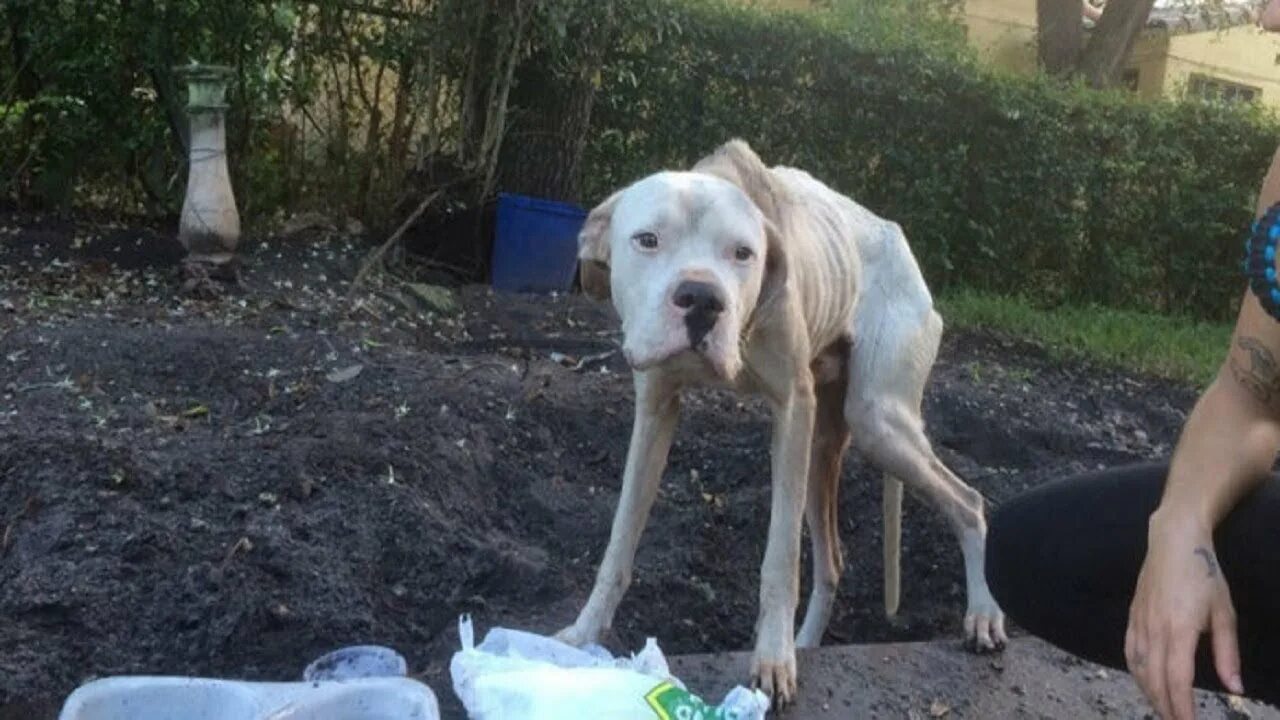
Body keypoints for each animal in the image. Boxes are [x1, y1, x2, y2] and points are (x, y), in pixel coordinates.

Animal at [555, 140, 1003, 702]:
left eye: (743, 254)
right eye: (647, 240)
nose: (703, 299)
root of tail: (901, 246)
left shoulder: (791, 410)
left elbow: (781, 561)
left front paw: (772, 659)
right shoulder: (655, 411)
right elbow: (619, 539)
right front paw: (583, 634)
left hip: (878, 422)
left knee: (969, 503)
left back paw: (983, 614)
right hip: (822, 450)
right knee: (833, 563)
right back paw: (806, 644)